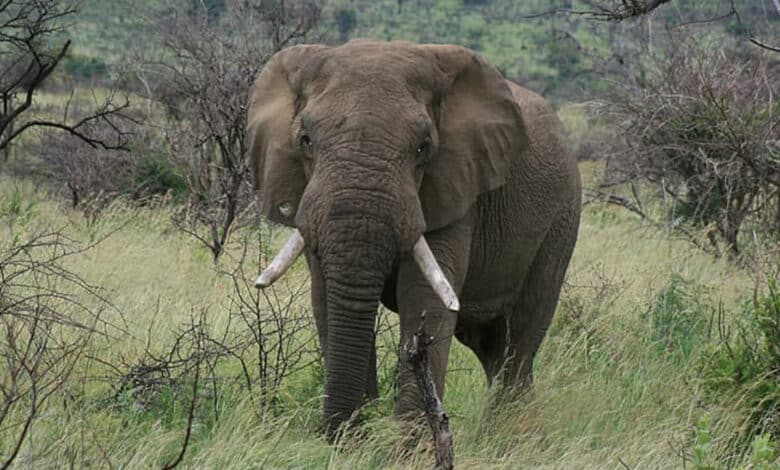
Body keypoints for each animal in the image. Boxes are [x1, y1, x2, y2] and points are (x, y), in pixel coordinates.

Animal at [247, 39, 581, 439]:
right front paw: (358, 443)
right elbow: (326, 298)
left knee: (520, 340)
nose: (338, 433)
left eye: (423, 147)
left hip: (561, 219)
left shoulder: (457, 187)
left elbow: (424, 300)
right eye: (305, 140)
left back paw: (515, 440)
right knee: (491, 345)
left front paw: (407, 448)